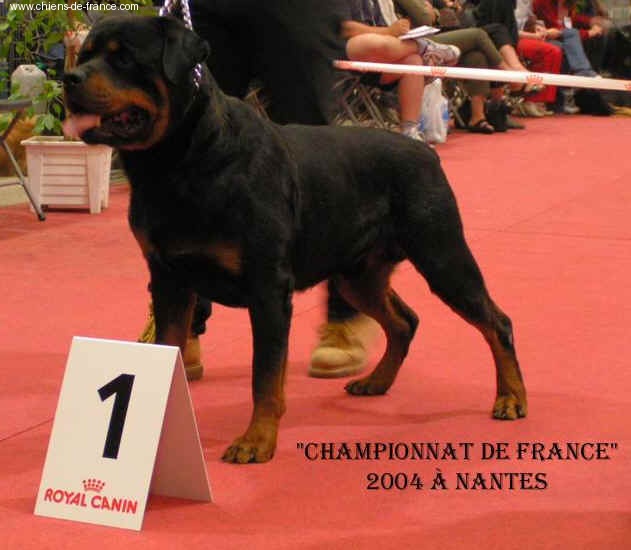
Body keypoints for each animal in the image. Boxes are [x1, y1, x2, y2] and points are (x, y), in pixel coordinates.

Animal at [63, 15, 527, 464]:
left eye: (123, 58)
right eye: (84, 55)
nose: (69, 77)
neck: (181, 161)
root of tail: (425, 151)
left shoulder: (268, 288)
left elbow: (265, 376)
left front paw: (256, 441)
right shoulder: (169, 281)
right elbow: (170, 349)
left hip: (441, 255)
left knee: (496, 321)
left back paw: (510, 398)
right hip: (357, 275)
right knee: (405, 320)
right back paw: (376, 381)